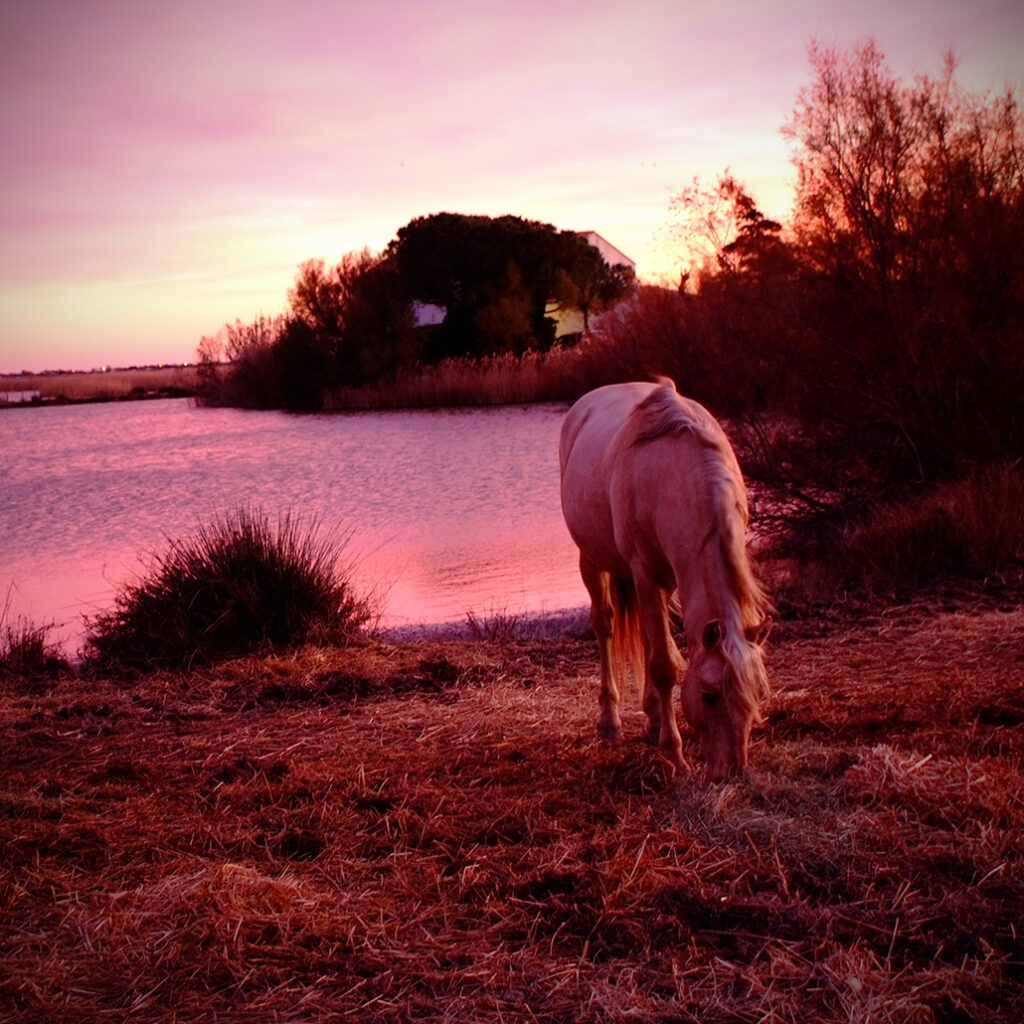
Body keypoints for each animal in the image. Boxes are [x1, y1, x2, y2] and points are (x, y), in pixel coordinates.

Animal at [561, 380, 770, 778]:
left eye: (757, 694)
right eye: (708, 695)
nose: (732, 771)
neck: (676, 476)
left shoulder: (668, 576)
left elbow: (659, 649)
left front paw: (660, 727)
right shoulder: (644, 573)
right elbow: (665, 665)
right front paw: (674, 753)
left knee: (645, 632)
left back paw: (654, 718)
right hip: (591, 559)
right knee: (605, 625)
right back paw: (610, 721)